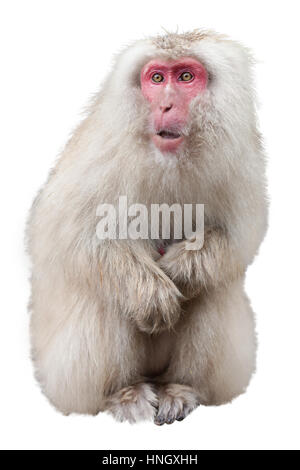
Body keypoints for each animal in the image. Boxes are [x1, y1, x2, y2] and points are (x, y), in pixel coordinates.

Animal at [27, 31, 268, 424]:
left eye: (185, 77)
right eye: (156, 78)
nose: (166, 106)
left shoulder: (239, 159)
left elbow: (239, 235)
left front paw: (183, 269)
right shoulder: (101, 151)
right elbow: (66, 232)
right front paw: (150, 294)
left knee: (214, 287)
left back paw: (179, 388)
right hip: (63, 375)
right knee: (104, 291)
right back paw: (122, 393)